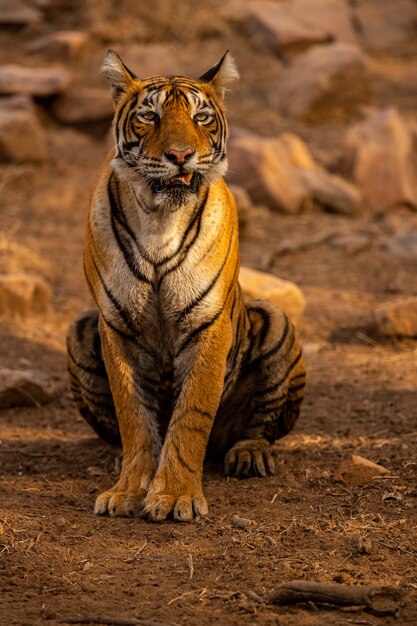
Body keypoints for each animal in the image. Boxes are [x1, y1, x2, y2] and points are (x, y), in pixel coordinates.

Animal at [66, 48, 306, 520]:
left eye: (201, 118)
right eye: (150, 116)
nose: (180, 155)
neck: (160, 217)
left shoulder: (207, 325)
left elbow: (191, 415)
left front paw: (175, 495)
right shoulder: (116, 326)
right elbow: (134, 417)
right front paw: (128, 491)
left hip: (276, 320)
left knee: (257, 429)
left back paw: (249, 455)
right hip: (80, 329)